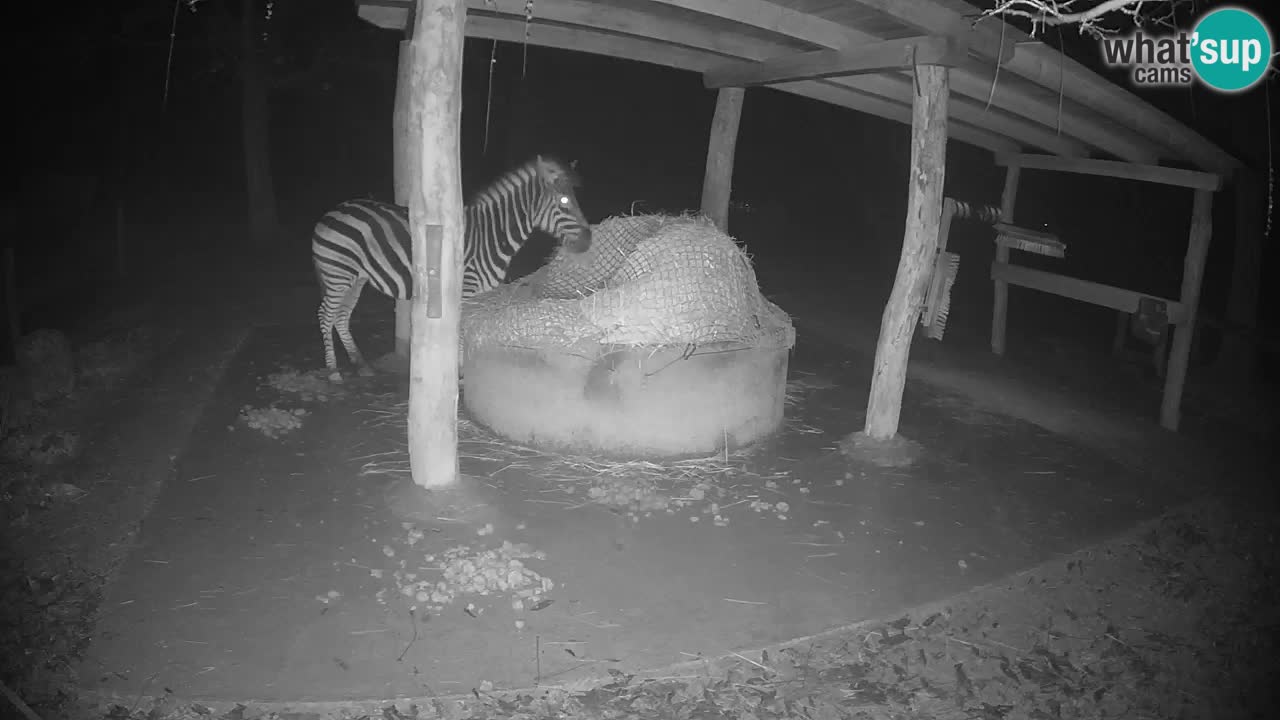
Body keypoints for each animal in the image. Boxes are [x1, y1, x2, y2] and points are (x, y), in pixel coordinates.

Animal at [311, 155, 591, 383]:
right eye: (564, 201)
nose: (588, 241)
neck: (491, 236)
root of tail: (332, 211)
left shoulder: (480, 294)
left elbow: (471, 329)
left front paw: (466, 371)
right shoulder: (465, 290)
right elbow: (461, 330)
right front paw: (459, 373)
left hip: (356, 278)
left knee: (341, 317)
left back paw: (361, 365)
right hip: (338, 273)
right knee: (326, 314)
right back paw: (334, 371)